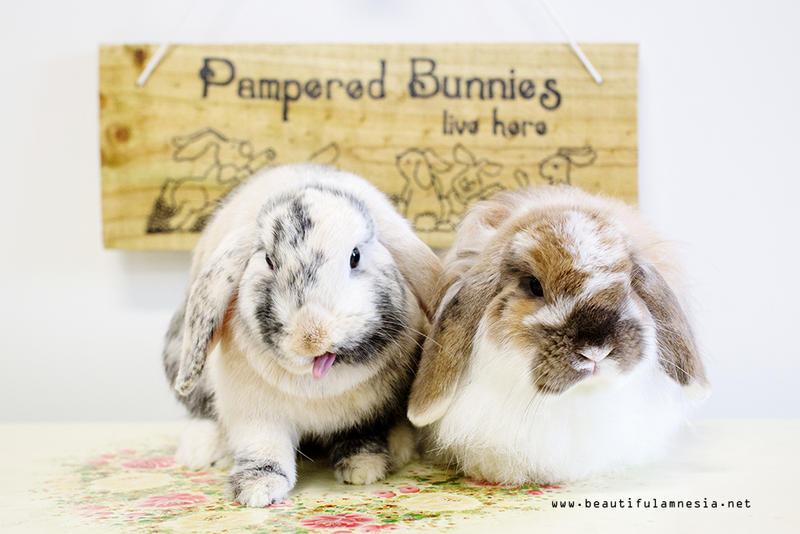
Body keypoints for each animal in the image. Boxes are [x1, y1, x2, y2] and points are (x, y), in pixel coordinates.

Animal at [162, 163, 442, 507]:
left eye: (355, 256)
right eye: (269, 261)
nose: (312, 338)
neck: (316, 387)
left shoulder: (368, 411)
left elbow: (362, 435)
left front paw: (363, 467)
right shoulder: (255, 414)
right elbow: (263, 447)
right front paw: (257, 489)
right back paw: (201, 450)